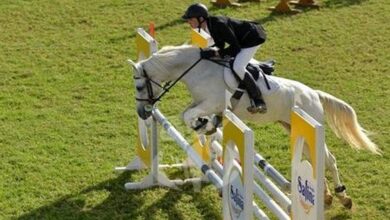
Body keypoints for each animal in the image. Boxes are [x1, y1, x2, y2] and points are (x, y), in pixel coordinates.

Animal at [129, 43, 380, 209]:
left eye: (140, 86)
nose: (143, 112)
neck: (198, 70)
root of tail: (314, 94)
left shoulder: (213, 102)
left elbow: (189, 115)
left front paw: (205, 126)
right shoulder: (202, 103)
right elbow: (187, 114)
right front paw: (206, 125)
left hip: (308, 123)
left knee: (329, 160)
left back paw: (343, 196)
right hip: (292, 126)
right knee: (316, 158)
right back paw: (326, 195)